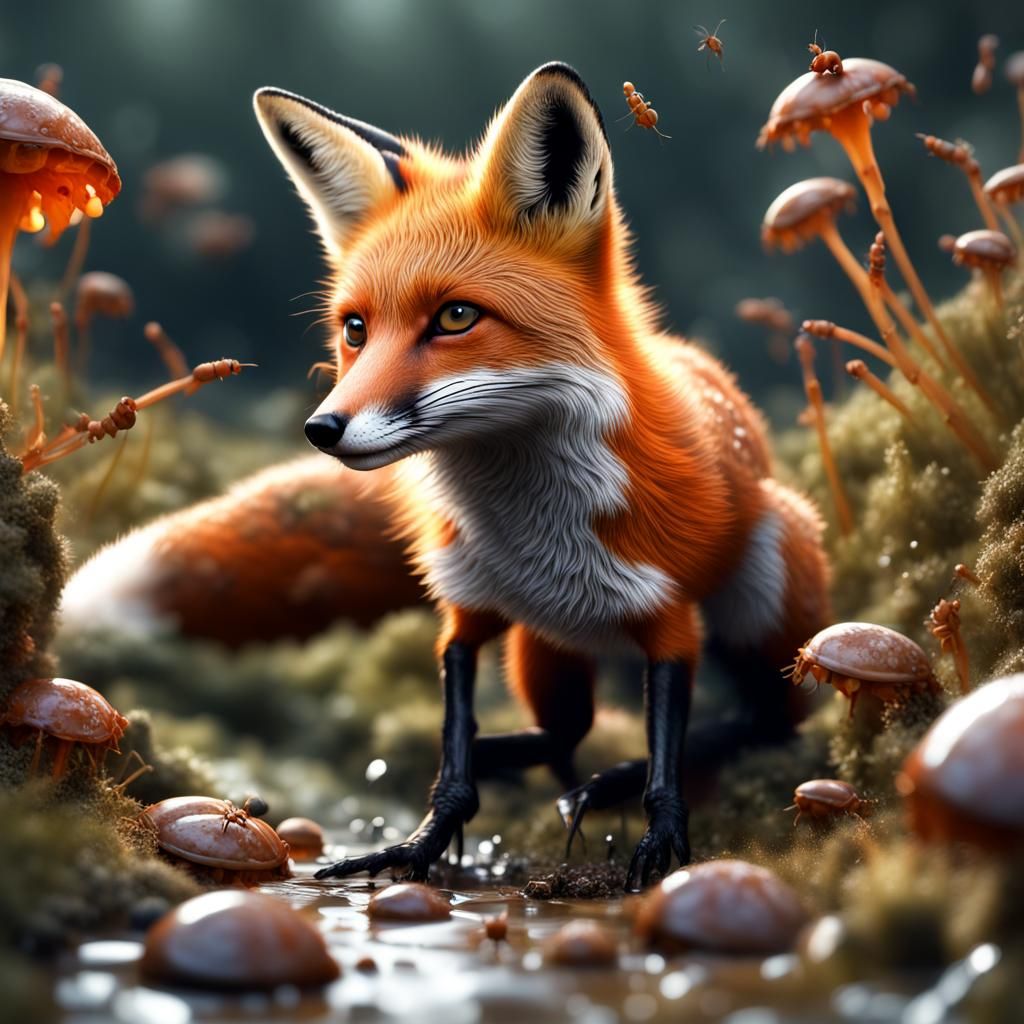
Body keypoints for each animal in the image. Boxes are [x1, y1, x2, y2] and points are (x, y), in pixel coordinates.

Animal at [245, 61, 831, 890]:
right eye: (355, 329)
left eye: (456, 318)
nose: (323, 430)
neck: (530, 527)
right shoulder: (466, 609)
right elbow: (454, 764)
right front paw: (419, 846)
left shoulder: (671, 621)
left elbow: (666, 759)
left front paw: (660, 842)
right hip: (543, 648)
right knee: (563, 735)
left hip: (768, 592)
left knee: (768, 721)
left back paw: (607, 782)